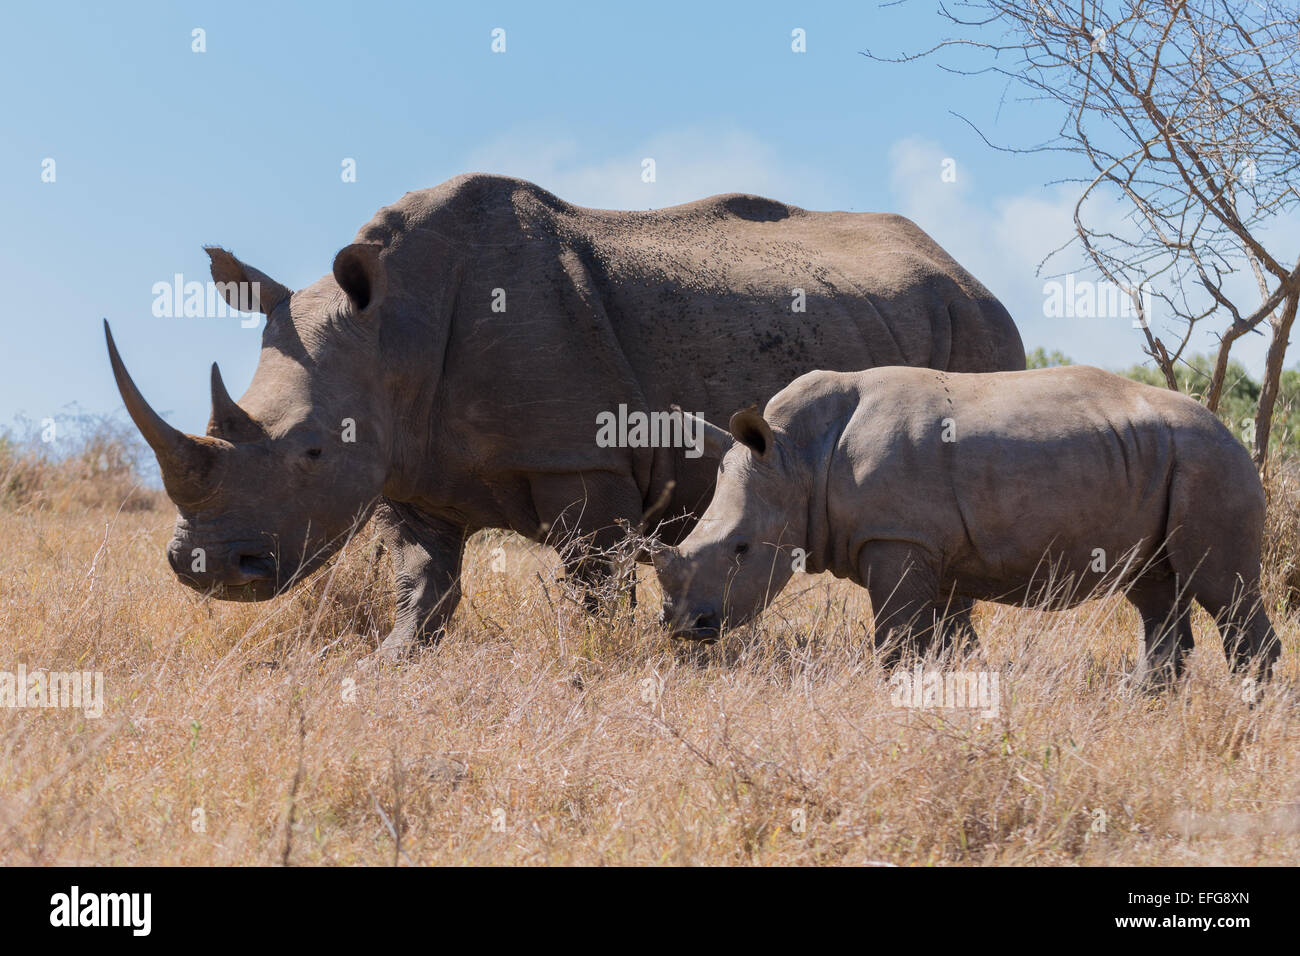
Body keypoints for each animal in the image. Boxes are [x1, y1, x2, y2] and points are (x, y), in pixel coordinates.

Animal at [660, 361, 1279, 686]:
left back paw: (1249, 710)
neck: (795, 458)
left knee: (1223, 588)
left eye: (741, 549)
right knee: (1153, 590)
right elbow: (944, 642)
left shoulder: (897, 538)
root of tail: (1230, 429)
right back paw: (1138, 704)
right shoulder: (929, 550)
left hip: (1209, 461)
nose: (684, 626)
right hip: (1163, 459)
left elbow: (896, 641)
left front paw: (898, 697)